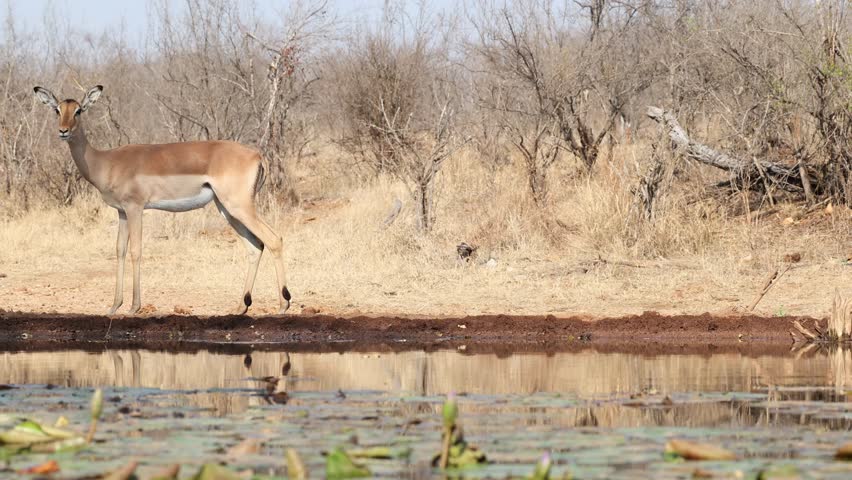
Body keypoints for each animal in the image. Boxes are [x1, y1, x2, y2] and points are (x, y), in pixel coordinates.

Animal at [33, 85, 291, 315]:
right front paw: (114, 306)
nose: (63, 131)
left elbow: (136, 251)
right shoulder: (122, 212)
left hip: (239, 206)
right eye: (57, 109)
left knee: (273, 239)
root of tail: (257, 155)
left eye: (79, 110)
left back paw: (283, 304)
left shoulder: (135, 208)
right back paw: (241, 307)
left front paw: (134, 307)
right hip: (226, 210)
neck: (106, 162)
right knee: (254, 246)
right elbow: (120, 250)